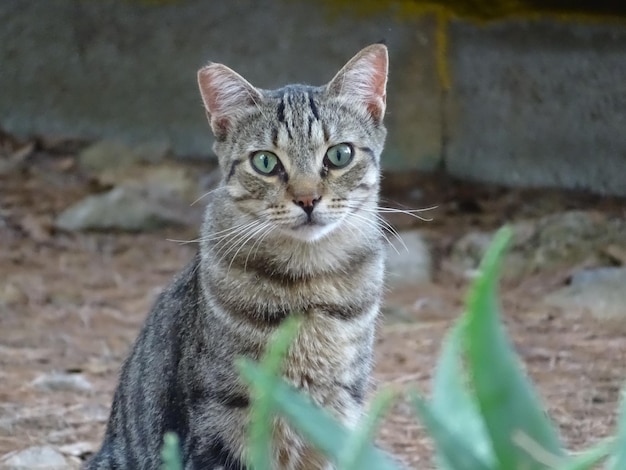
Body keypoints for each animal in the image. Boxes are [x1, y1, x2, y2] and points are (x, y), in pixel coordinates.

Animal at [85, 45, 388, 470]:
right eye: (265, 162)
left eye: (340, 155)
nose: (308, 199)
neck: (307, 284)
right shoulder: (220, 428)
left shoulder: (336, 415)